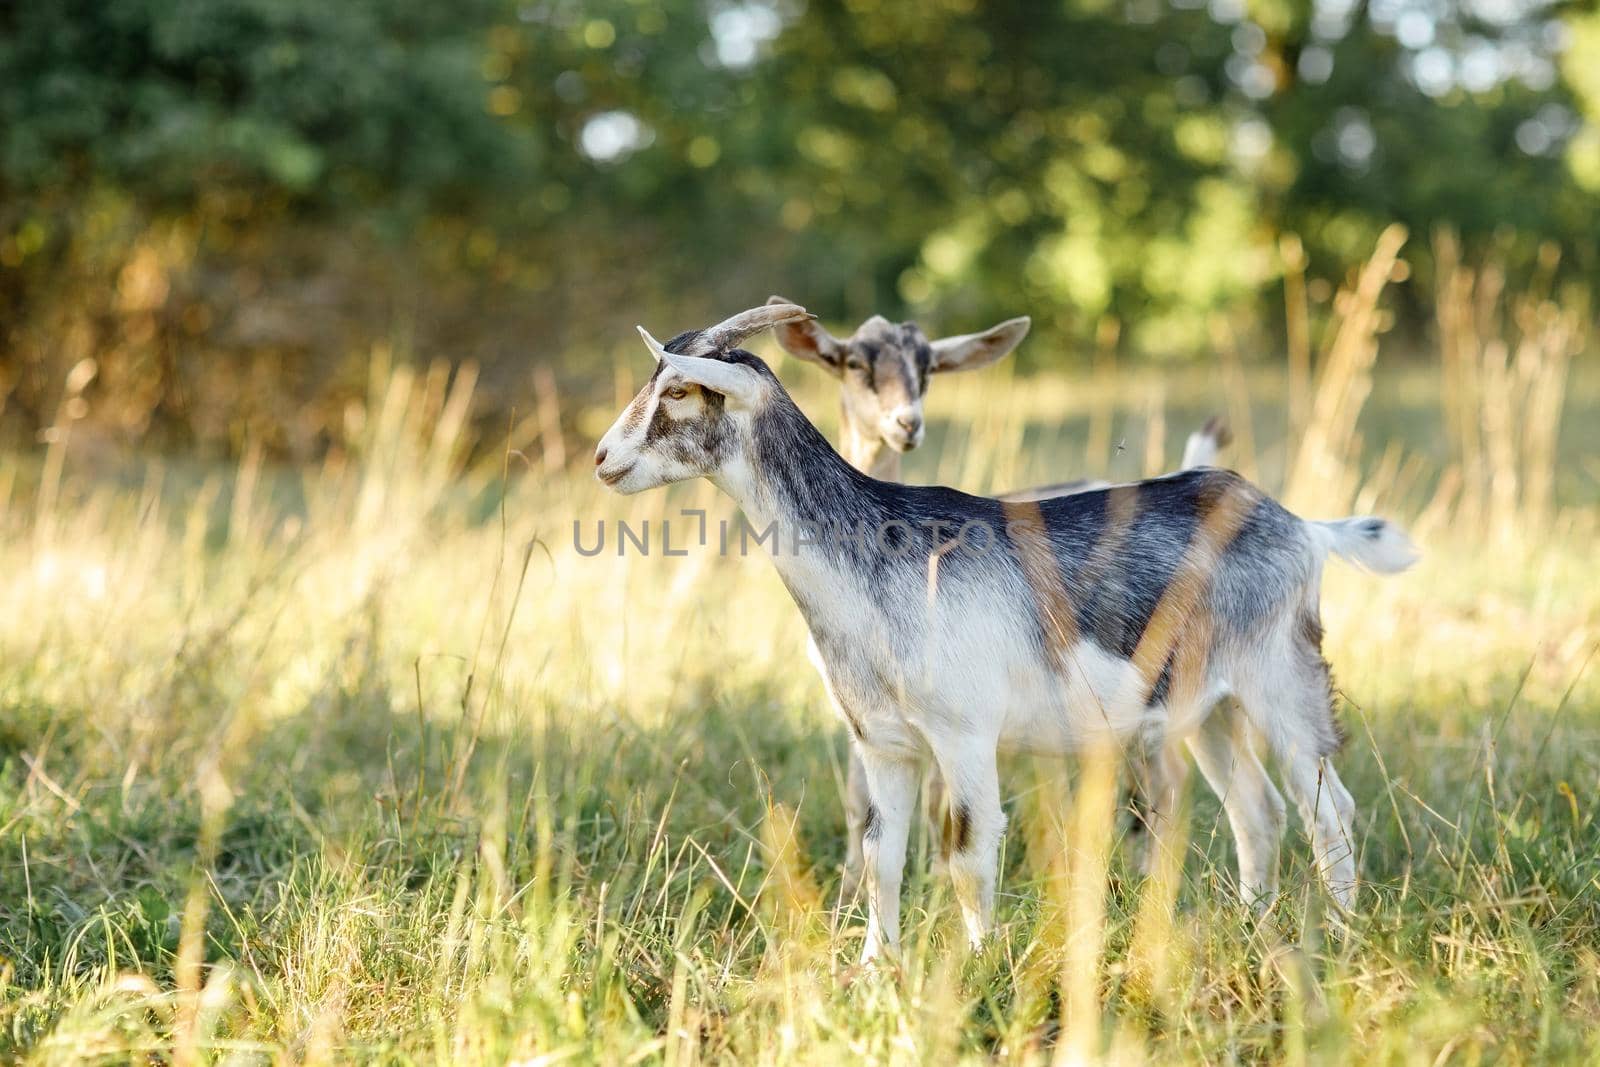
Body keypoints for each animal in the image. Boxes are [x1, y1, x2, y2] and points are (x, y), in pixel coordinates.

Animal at [595, 303, 1420, 966]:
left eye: (678, 390)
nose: (603, 458)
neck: (878, 556)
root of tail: (1303, 525)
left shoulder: (962, 733)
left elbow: (967, 853)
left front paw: (979, 965)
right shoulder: (885, 743)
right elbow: (881, 855)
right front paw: (874, 969)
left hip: (1281, 683)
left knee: (1328, 810)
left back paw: (1340, 935)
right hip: (1208, 709)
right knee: (1258, 810)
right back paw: (1254, 925)